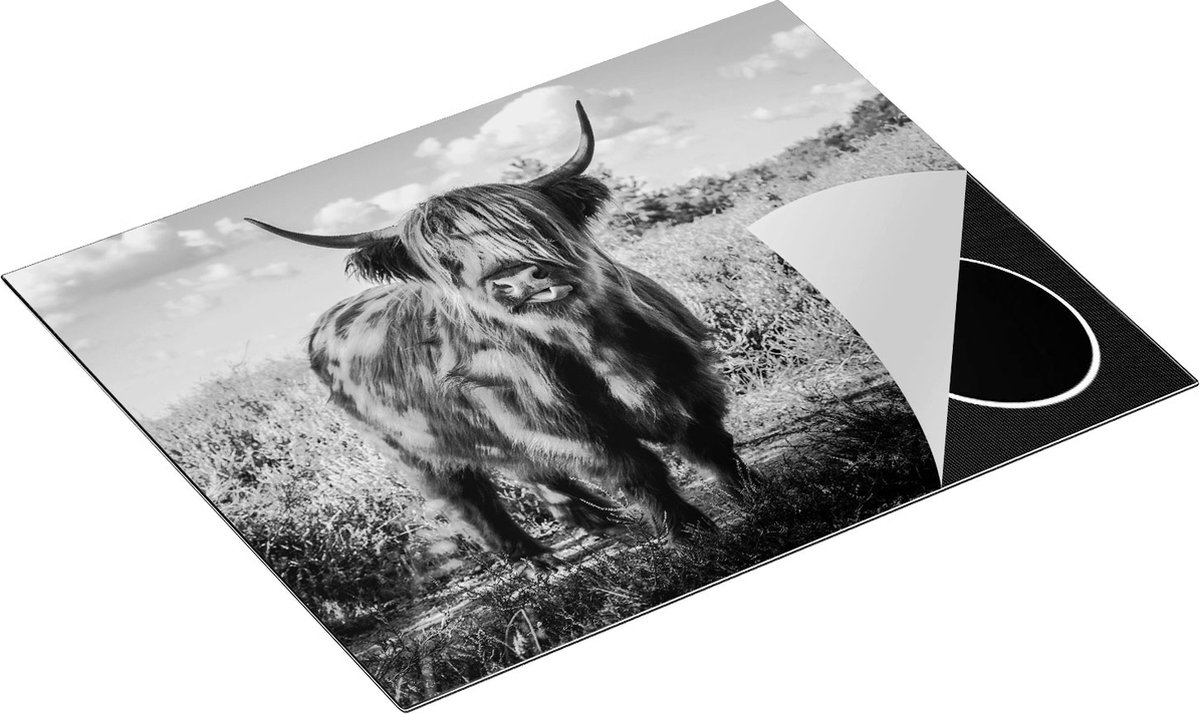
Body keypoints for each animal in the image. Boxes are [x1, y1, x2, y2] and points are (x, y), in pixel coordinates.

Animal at [246, 102, 756, 565]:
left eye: (530, 225)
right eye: (447, 262)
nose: (519, 282)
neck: (599, 348)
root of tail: (325, 326)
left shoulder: (686, 379)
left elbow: (712, 445)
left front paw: (753, 496)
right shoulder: (573, 433)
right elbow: (640, 473)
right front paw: (691, 534)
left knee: (532, 473)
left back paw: (599, 520)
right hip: (418, 454)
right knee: (471, 503)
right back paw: (539, 560)